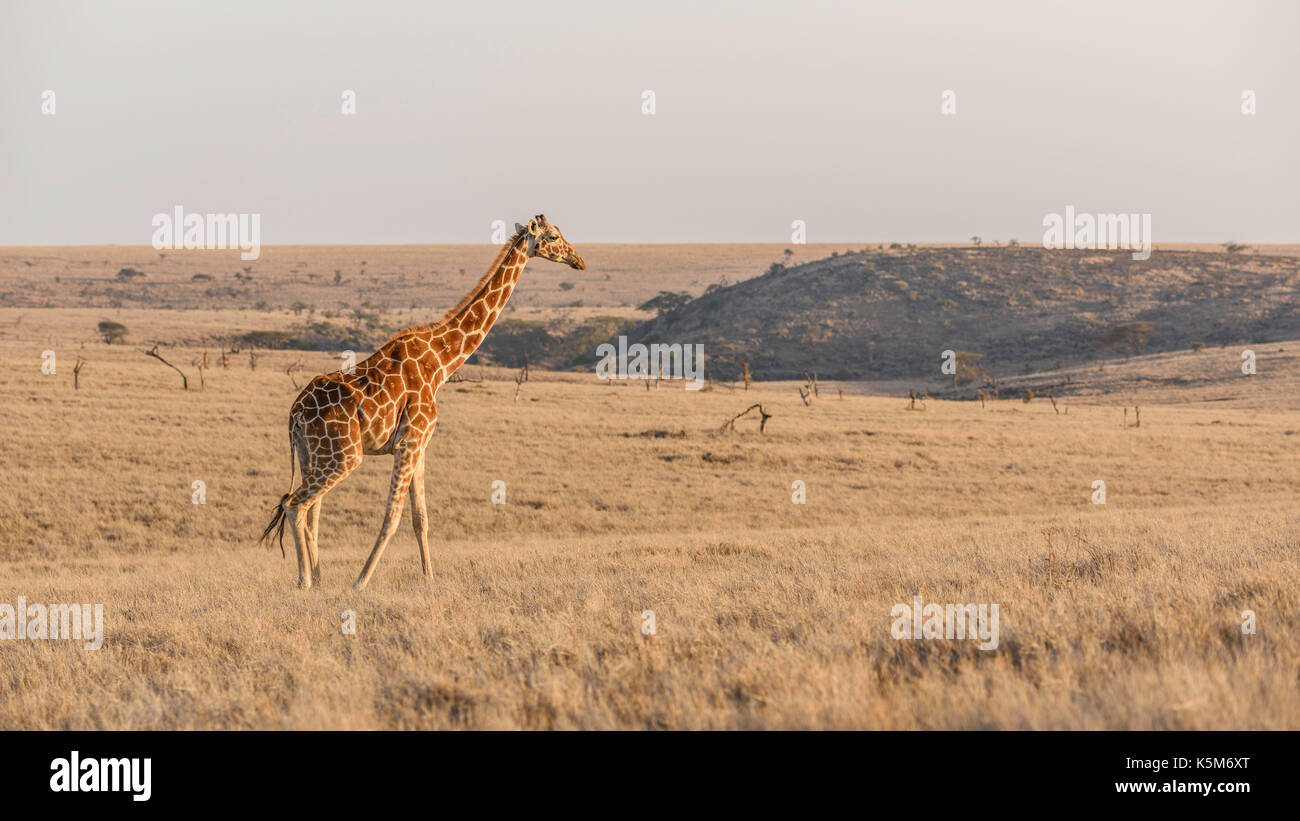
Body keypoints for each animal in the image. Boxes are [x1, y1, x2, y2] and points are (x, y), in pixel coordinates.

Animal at [260, 215, 585, 590]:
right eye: (553, 237)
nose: (579, 261)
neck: (441, 364)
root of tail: (295, 413)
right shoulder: (410, 441)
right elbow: (392, 516)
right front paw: (361, 582)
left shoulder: (421, 444)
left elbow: (420, 517)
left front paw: (429, 578)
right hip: (344, 455)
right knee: (295, 504)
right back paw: (305, 581)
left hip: (311, 453)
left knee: (310, 509)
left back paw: (319, 577)